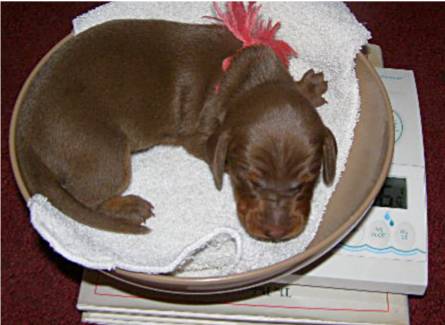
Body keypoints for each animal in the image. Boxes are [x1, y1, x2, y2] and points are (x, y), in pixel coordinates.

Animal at [17, 19, 336, 239]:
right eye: (250, 180)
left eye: (307, 181)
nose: (276, 233)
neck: (252, 79)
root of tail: (26, 134)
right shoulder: (200, 137)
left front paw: (307, 88)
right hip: (105, 154)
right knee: (84, 196)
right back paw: (128, 207)